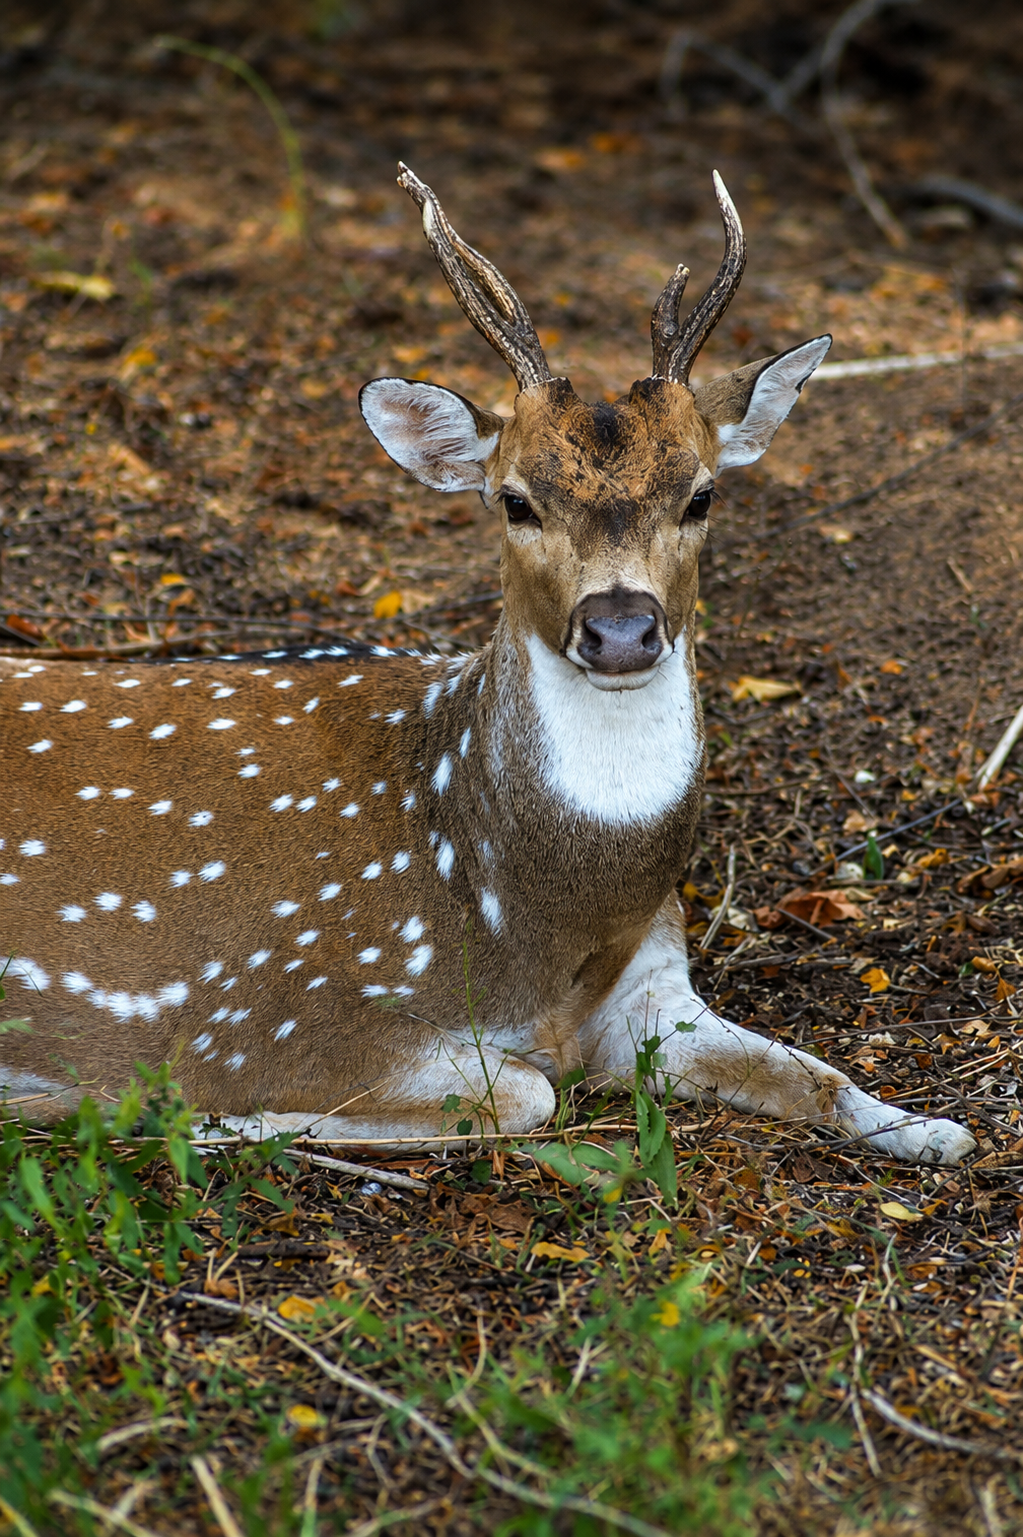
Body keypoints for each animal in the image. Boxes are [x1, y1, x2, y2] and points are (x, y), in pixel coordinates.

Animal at [0, 165, 975, 1166]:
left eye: (701, 493)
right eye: (514, 500)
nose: (619, 628)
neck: (533, 916)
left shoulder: (656, 983)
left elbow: (810, 1073)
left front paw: (931, 1127)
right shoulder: (264, 1013)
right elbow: (523, 1094)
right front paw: (198, 1116)